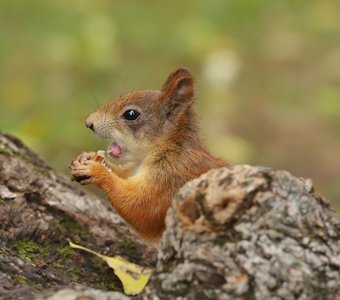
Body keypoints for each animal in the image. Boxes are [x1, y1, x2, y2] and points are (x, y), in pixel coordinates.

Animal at [68, 67, 228, 241]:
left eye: (131, 114)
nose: (89, 123)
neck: (169, 148)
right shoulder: (134, 170)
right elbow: (123, 174)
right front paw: (87, 158)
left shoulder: (172, 178)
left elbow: (141, 207)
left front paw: (95, 170)